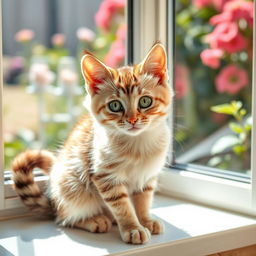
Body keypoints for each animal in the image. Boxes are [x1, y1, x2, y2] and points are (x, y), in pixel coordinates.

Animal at [11, 43, 172, 245]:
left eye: (145, 101)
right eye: (115, 106)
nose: (132, 120)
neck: (137, 144)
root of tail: (53, 202)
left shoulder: (147, 176)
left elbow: (143, 200)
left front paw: (145, 220)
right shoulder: (105, 176)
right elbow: (122, 206)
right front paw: (132, 227)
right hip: (72, 188)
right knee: (64, 218)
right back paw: (94, 220)